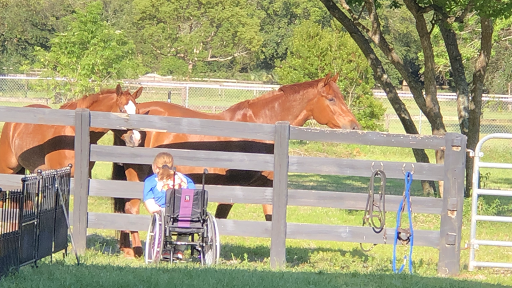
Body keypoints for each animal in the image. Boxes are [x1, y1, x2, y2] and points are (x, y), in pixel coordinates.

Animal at [112, 73, 360, 258]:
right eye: (331, 99)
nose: (354, 126)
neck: (261, 128)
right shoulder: (233, 187)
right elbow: (220, 218)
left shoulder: (266, 187)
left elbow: (271, 219)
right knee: (131, 209)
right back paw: (136, 250)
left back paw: (127, 249)